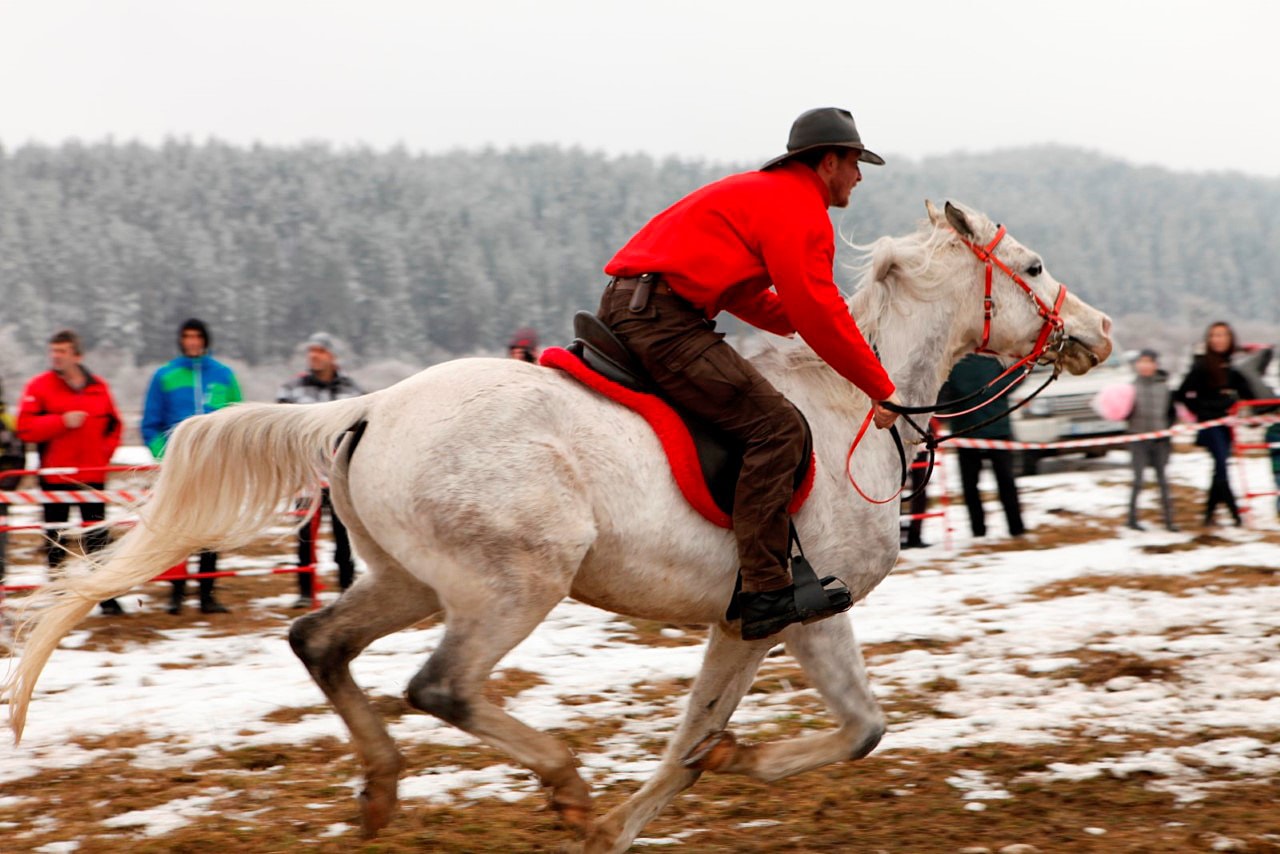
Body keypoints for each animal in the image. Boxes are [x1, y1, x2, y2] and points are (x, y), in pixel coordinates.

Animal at [2, 201, 1111, 850]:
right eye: (1032, 263)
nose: (1098, 332)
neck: (855, 403)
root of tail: (366, 407)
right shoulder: (797, 610)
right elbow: (829, 729)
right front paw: (671, 794)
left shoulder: (751, 620)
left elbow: (721, 733)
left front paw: (647, 811)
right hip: (511, 584)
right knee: (438, 686)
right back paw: (560, 780)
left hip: (408, 579)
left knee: (318, 641)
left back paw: (381, 789)